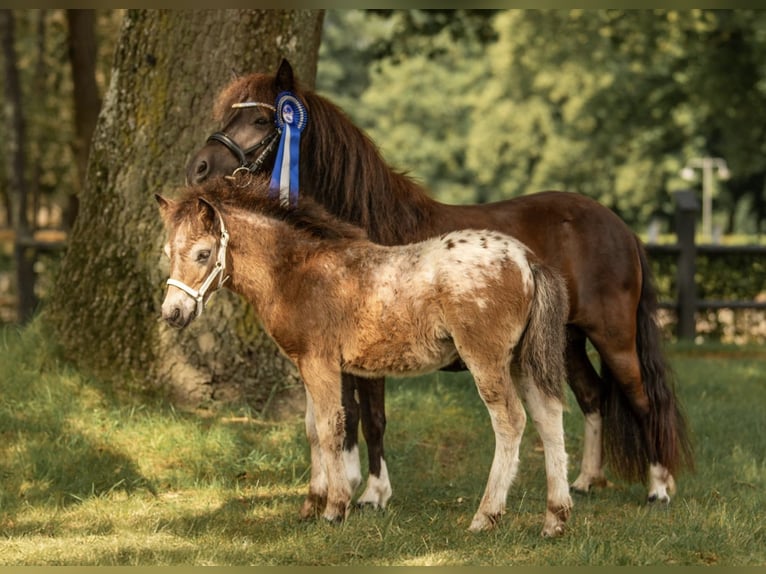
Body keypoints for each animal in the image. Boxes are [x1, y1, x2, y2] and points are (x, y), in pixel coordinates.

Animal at [158, 178, 576, 536]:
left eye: (203, 253)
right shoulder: (307, 364)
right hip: (521, 361)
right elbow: (312, 428)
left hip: (486, 359)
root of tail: (527, 260)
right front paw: (312, 504)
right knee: (548, 416)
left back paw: (485, 516)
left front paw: (335, 508)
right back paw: (555, 518)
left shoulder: (320, 363)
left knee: (510, 421)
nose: (172, 313)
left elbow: (330, 427)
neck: (297, 272)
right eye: (167, 253)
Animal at [186, 58, 696, 508]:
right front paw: (345, 484)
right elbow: (346, 417)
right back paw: (588, 480)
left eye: (259, 118)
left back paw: (659, 488)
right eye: (228, 114)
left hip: (614, 336)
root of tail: (621, 227)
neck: (362, 226)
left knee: (643, 400)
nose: (199, 168)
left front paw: (372, 494)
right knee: (593, 397)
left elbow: (372, 418)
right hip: (565, 340)